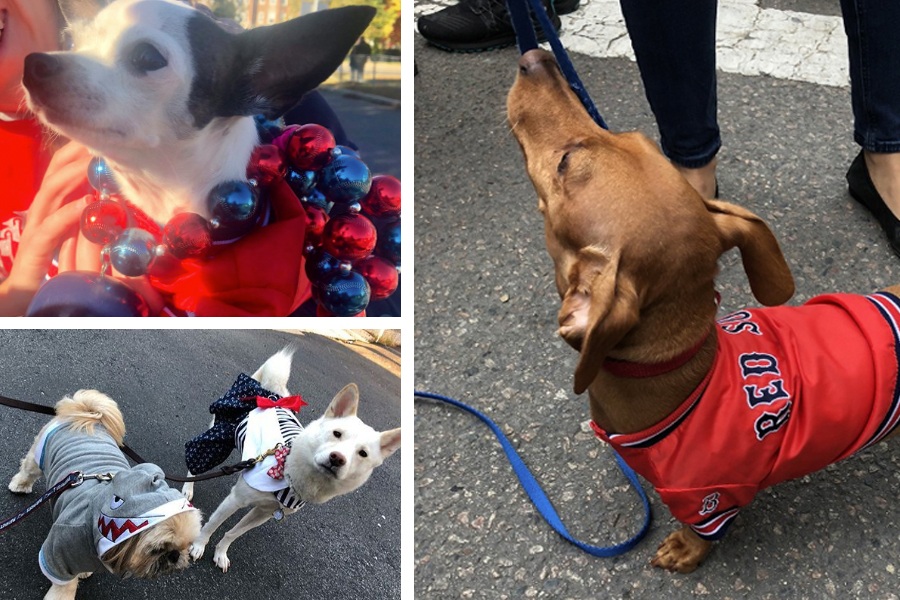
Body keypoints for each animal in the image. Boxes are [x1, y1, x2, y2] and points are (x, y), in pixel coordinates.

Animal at [5, 390, 202, 600]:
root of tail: (86, 413)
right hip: (38, 456)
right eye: (158, 549)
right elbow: (63, 588)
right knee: (28, 470)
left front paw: (84, 571)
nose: (175, 556)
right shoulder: (59, 554)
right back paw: (20, 485)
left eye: (186, 546)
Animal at [183, 346, 400, 572]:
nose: (338, 458)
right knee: (197, 461)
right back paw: (188, 488)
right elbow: (211, 525)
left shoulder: (263, 514)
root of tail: (272, 395)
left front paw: (221, 552)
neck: (290, 477)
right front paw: (198, 545)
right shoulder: (235, 500)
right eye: (337, 433)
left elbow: (233, 533)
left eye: (363, 453)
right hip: (218, 437)